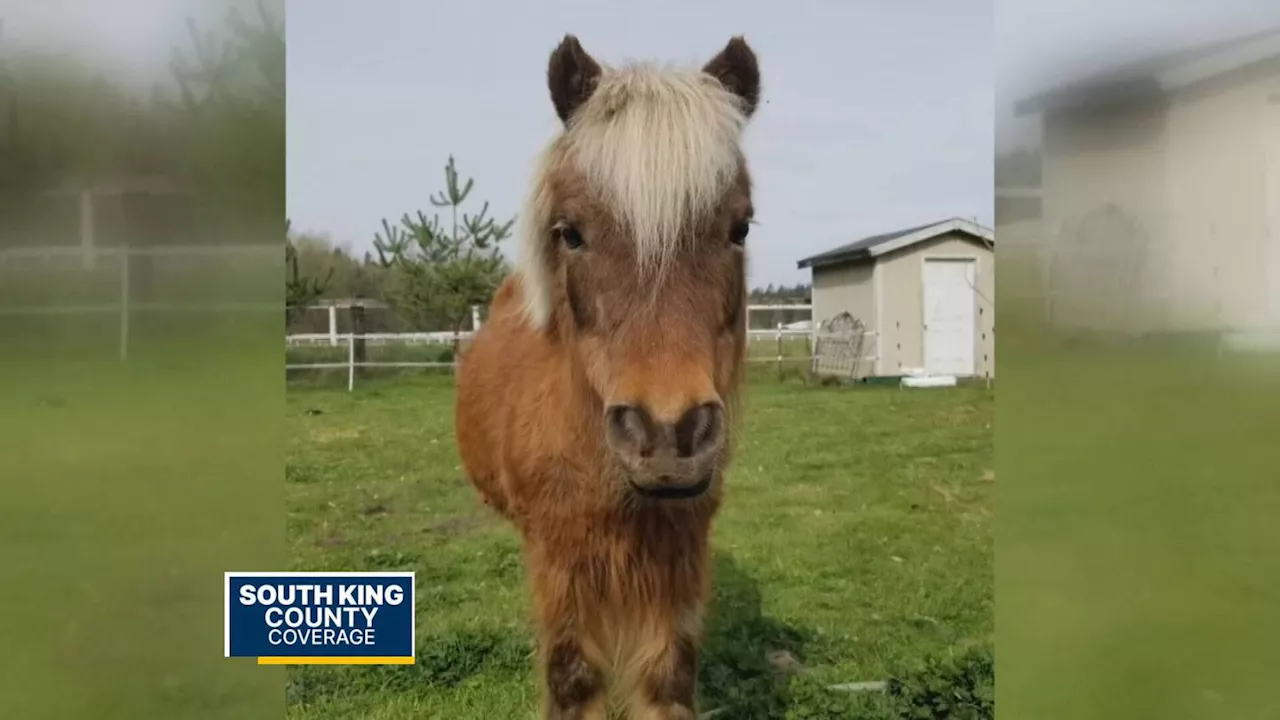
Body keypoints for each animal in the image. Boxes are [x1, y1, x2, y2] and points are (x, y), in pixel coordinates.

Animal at [455, 33, 757, 717]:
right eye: (570, 233)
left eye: (740, 227)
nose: (667, 433)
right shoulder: (561, 569)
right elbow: (572, 681)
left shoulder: (676, 567)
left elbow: (667, 680)